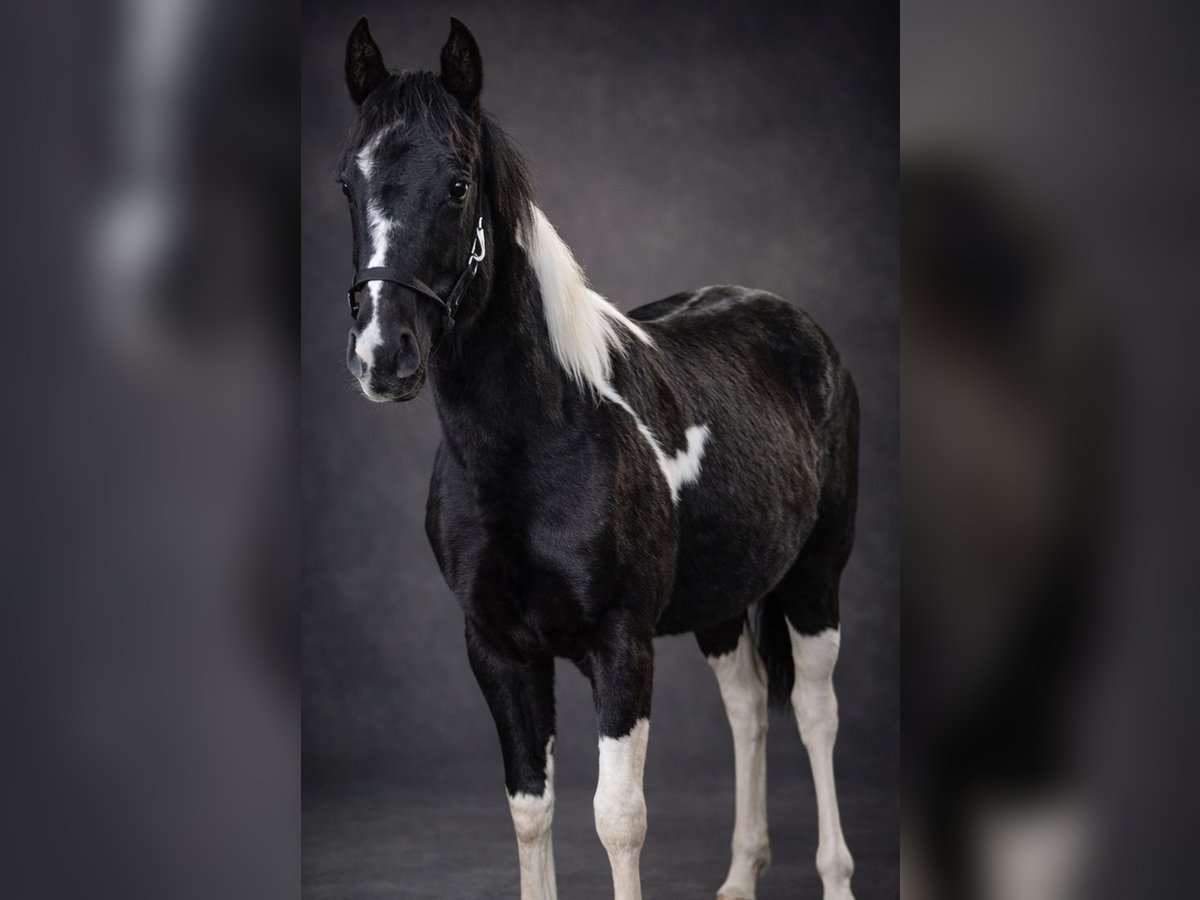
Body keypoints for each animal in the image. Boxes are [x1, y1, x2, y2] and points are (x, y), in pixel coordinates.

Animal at [335, 17, 859, 900]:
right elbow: (530, 810)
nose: (382, 355)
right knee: (750, 706)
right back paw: (739, 878)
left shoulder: (621, 646)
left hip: (817, 578)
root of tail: (795, 324)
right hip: (721, 600)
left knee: (818, 714)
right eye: (348, 181)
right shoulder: (497, 649)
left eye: (458, 185)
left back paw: (837, 875)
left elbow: (619, 817)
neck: (535, 448)